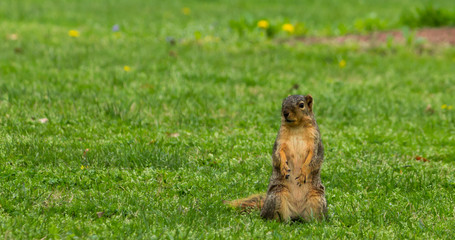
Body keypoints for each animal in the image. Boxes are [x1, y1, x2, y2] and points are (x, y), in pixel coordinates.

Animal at [225, 94, 328, 222]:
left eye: (301, 105)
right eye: (283, 103)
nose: (285, 113)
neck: (297, 128)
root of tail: (297, 213)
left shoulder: (315, 144)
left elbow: (312, 159)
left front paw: (303, 173)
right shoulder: (280, 141)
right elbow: (278, 154)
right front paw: (284, 167)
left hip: (317, 198)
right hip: (277, 196)